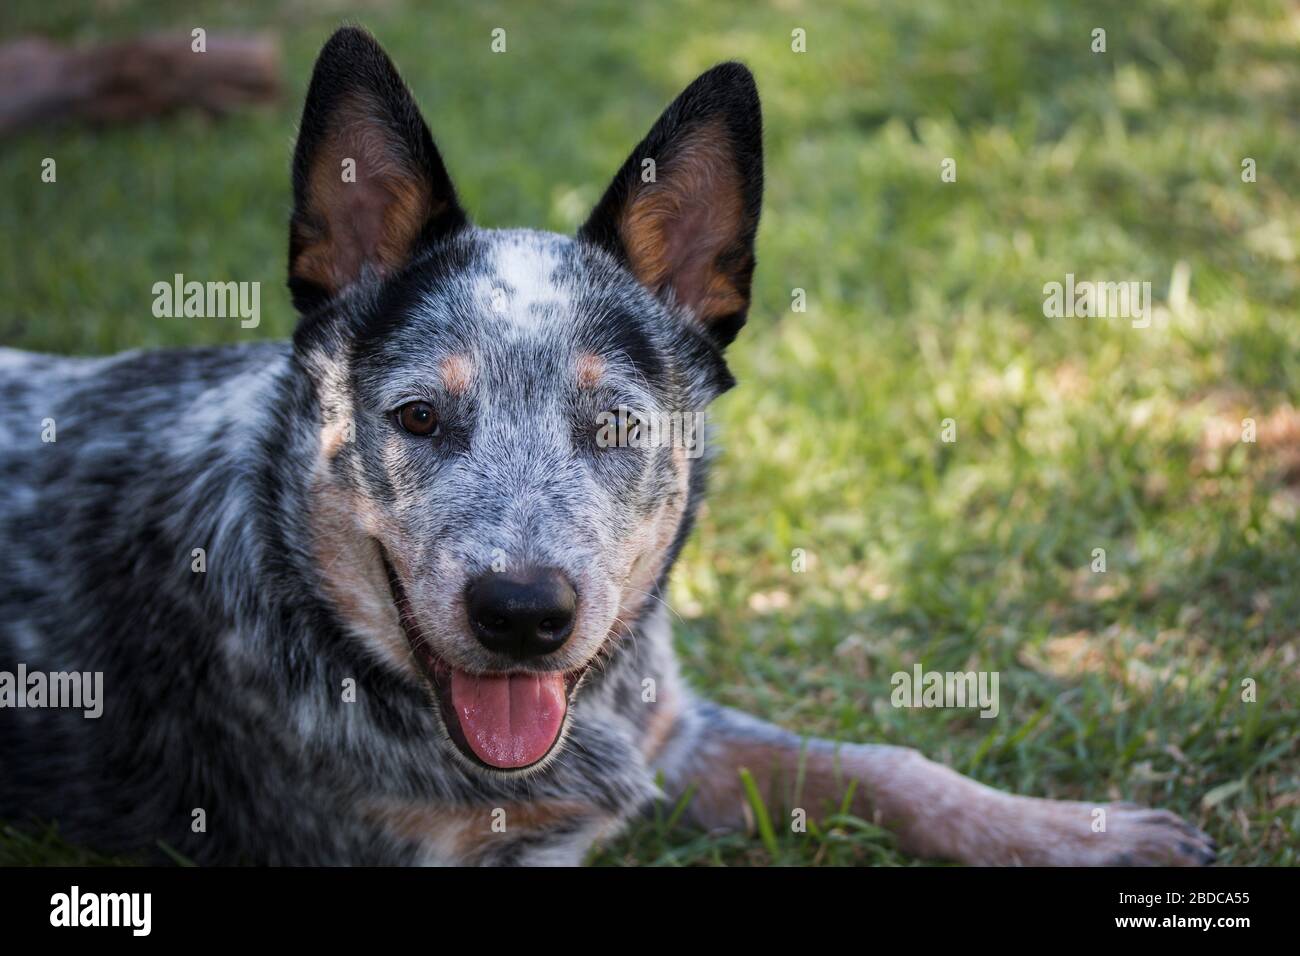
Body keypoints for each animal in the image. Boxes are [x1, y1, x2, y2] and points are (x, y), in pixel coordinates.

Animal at [0, 29, 1216, 868]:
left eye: (618, 425)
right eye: (418, 418)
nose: (523, 612)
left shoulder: (671, 731)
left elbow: (890, 763)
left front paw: (1085, 829)